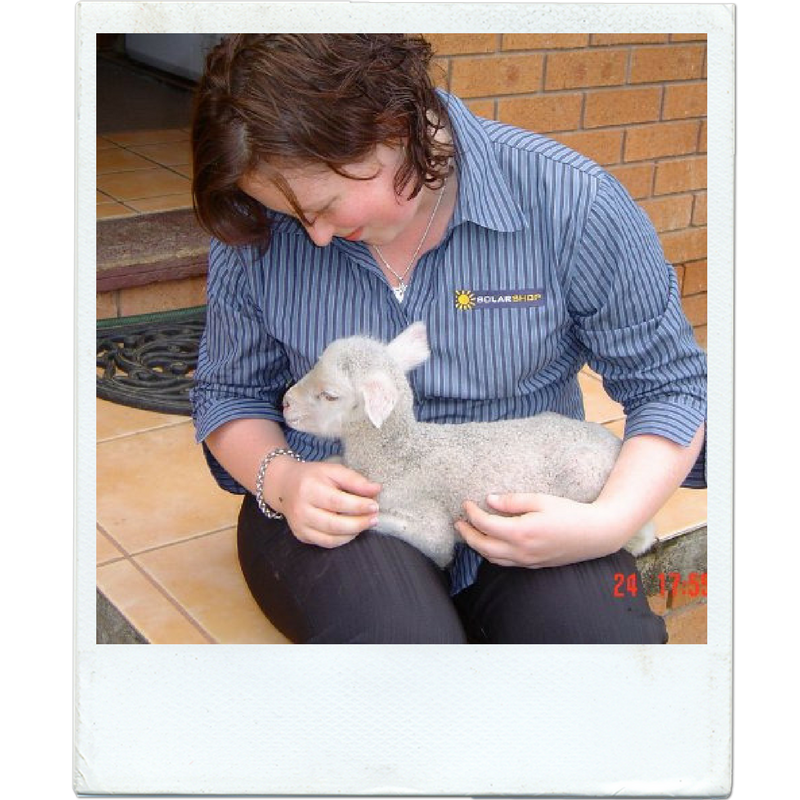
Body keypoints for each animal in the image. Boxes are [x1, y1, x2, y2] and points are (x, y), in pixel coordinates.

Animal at [282, 320, 656, 568]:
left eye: (330, 395)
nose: (284, 402)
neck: (398, 455)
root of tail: (618, 446)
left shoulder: (429, 525)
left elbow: (392, 525)